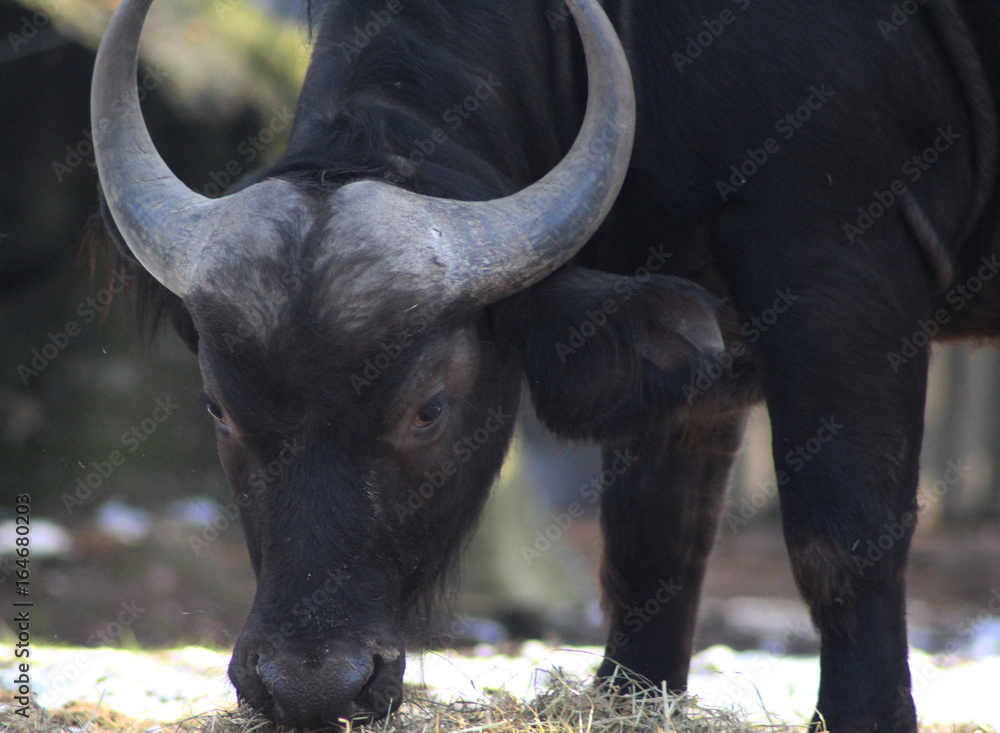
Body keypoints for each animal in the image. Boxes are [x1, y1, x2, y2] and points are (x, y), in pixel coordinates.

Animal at [92, 0, 1000, 731]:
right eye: (218, 406)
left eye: (429, 406)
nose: (308, 687)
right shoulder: (690, 337)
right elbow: (651, 542)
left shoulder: (839, 269)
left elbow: (843, 536)